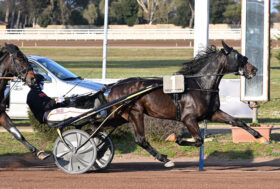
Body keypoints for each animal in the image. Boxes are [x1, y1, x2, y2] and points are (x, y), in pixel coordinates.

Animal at [104, 41, 266, 167]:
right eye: (240, 57)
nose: (254, 70)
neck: (201, 85)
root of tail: (114, 86)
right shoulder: (188, 118)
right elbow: (199, 140)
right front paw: (176, 138)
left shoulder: (212, 113)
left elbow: (237, 122)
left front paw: (260, 137)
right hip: (135, 112)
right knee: (140, 139)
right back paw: (165, 159)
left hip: (121, 116)